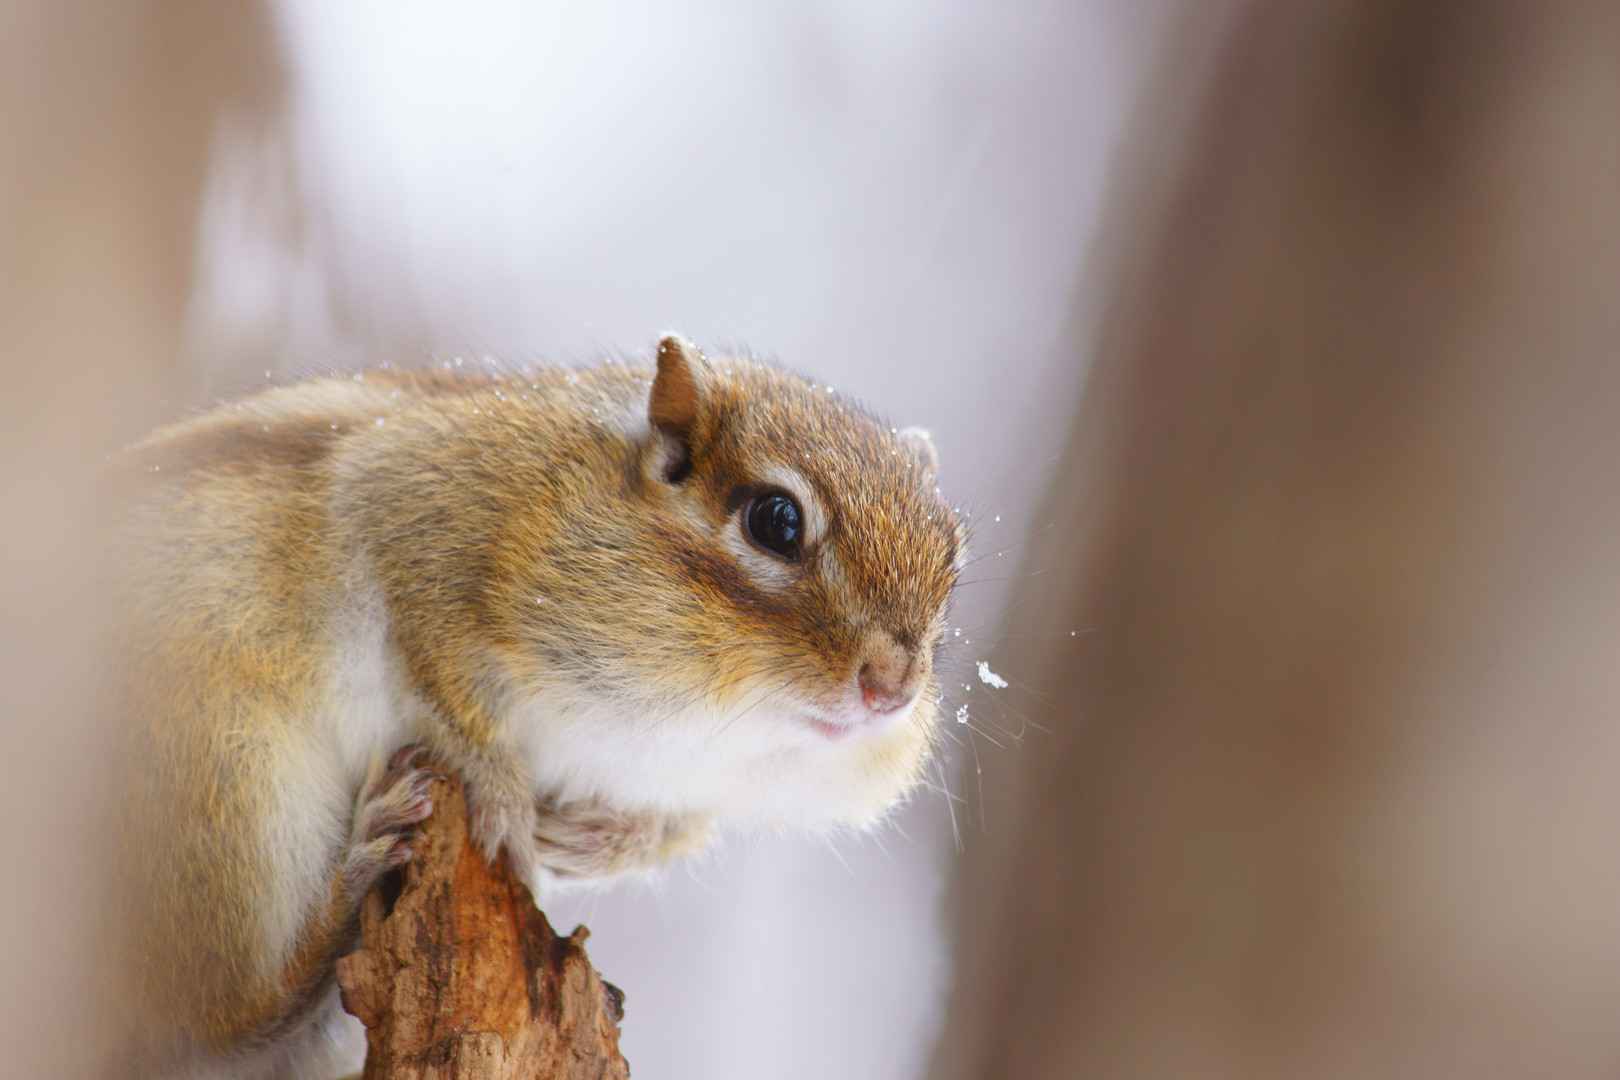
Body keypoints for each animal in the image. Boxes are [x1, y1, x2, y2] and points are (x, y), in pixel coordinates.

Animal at [106, 335, 964, 1078]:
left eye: (951, 557)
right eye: (776, 521)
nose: (893, 686)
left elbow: (673, 826)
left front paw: (593, 839)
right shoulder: (408, 516)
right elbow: (437, 672)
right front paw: (506, 804)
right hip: (228, 785)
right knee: (228, 1020)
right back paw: (349, 885)